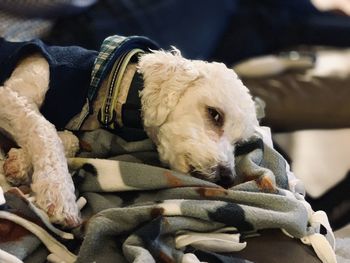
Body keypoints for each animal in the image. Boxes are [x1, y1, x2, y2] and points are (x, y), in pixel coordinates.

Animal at [0, 36, 258, 228]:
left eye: (239, 144)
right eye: (215, 114)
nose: (227, 177)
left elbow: (68, 138)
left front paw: (19, 162)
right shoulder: (10, 95)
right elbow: (44, 128)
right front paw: (58, 193)